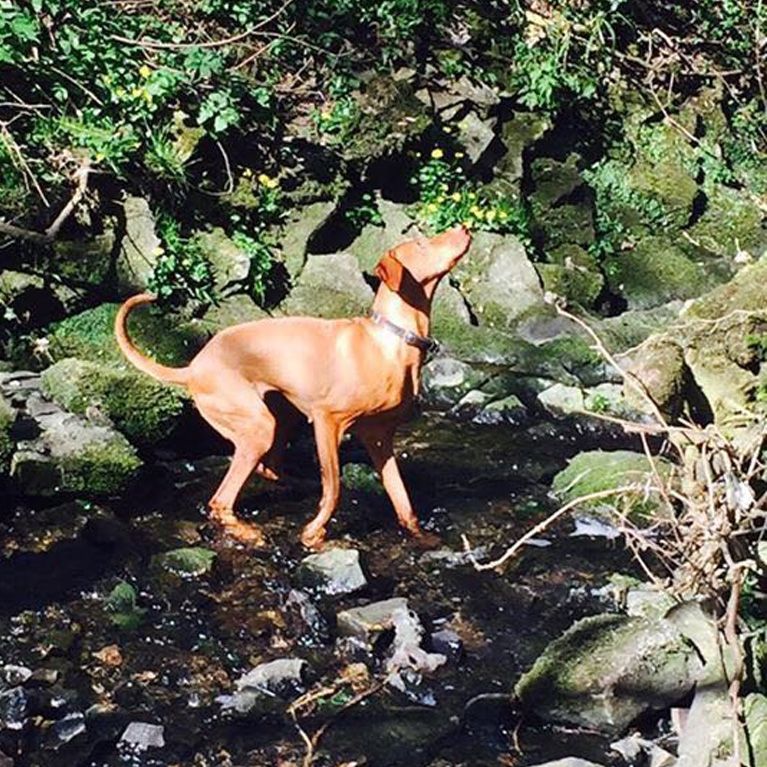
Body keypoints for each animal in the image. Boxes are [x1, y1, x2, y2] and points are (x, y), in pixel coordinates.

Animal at [116, 225, 472, 548]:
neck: (393, 340)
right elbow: (334, 487)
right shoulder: (327, 420)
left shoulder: (379, 437)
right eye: (422, 244)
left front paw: (421, 536)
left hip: (282, 418)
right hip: (259, 426)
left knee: (267, 468)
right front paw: (313, 533)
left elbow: (403, 501)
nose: (465, 227)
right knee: (221, 501)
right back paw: (250, 532)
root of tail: (193, 367)